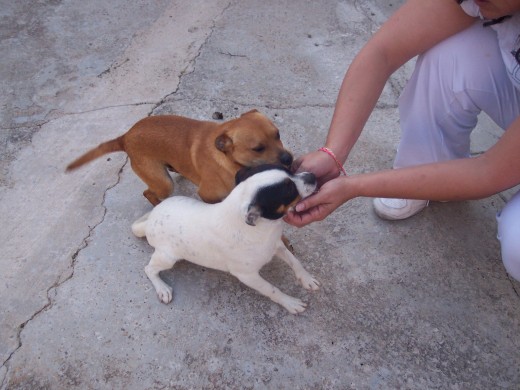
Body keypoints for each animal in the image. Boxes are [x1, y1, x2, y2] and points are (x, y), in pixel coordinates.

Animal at [66, 109, 292, 204]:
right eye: (258, 148)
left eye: (278, 135)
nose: (289, 159)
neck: (228, 160)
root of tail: (126, 137)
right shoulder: (208, 196)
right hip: (164, 184)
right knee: (148, 193)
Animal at [132, 164, 318, 314]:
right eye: (289, 190)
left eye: (290, 170)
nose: (313, 176)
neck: (262, 229)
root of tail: (149, 222)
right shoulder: (247, 275)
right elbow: (272, 290)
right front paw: (289, 302)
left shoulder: (276, 245)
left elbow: (295, 262)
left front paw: (307, 279)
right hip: (167, 257)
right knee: (149, 269)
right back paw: (162, 288)